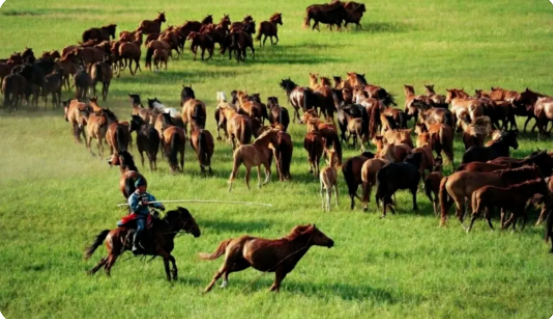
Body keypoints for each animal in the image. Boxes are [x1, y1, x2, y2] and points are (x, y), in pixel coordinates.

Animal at [201, 224, 334, 294]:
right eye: (320, 234)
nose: (331, 242)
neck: (291, 247)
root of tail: (232, 240)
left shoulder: (284, 272)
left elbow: (275, 285)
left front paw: (267, 292)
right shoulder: (280, 270)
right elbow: (277, 285)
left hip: (243, 264)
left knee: (227, 272)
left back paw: (224, 285)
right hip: (230, 260)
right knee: (219, 273)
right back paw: (206, 290)